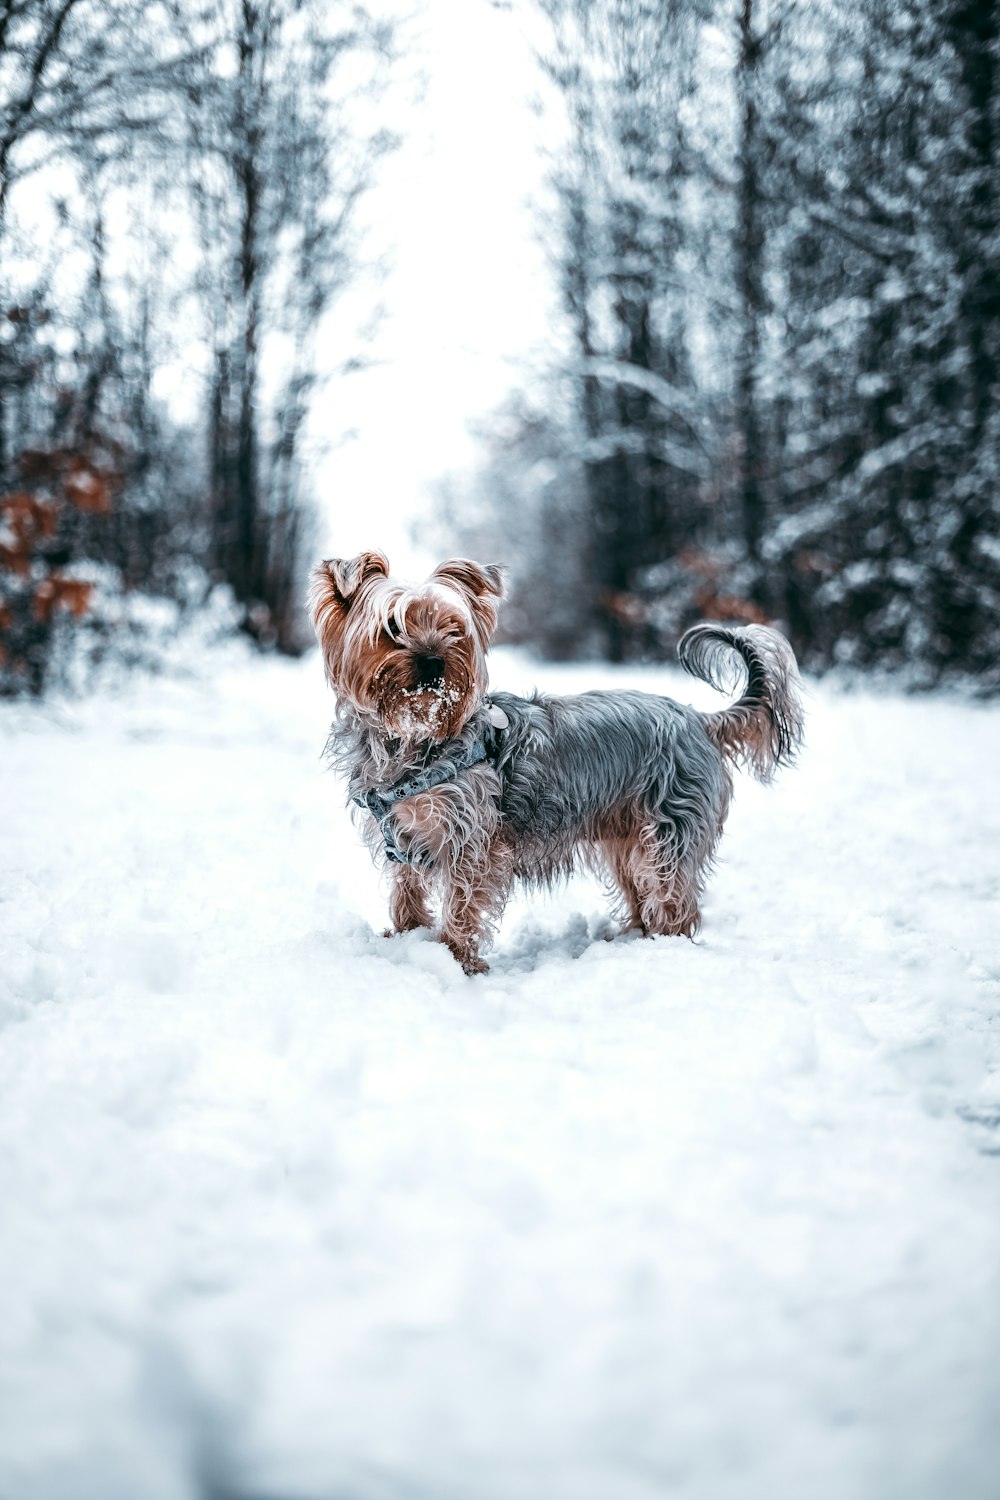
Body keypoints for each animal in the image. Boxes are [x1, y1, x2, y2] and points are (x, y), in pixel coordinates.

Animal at [313, 552, 803, 972]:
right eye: (392, 626)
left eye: (454, 629)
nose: (435, 661)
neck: (413, 739)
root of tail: (700, 719)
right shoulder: (403, 834)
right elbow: (406, 891)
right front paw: (406, 937)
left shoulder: (471, 839)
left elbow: (463, 903)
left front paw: (456, 960)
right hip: (626, 837)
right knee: (641, 891)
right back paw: (632, 939)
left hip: (668, 830)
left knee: (672, 897)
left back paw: (665, 949)